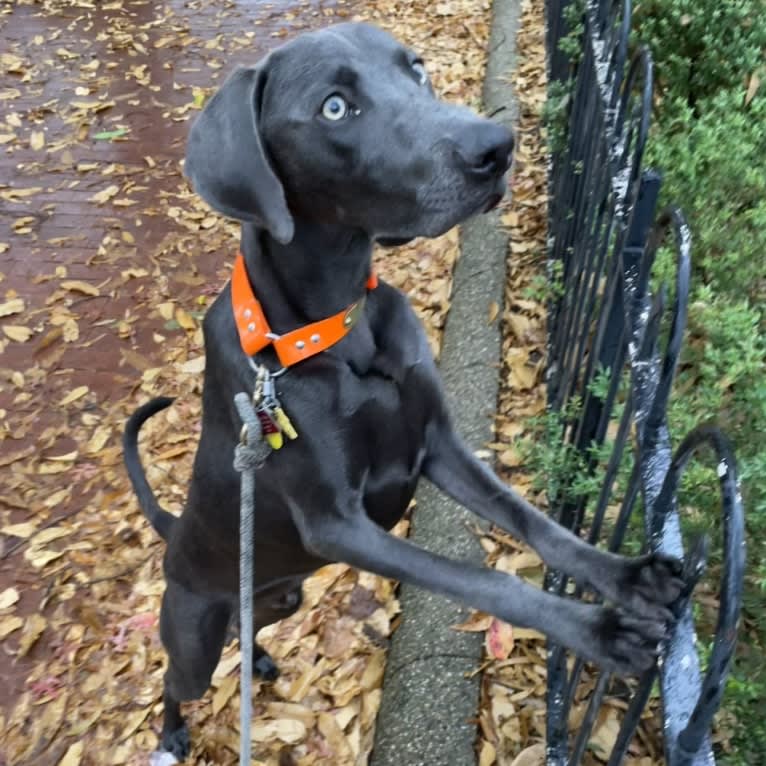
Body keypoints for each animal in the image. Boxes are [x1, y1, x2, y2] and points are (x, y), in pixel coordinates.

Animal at [124, 22, 684, 760]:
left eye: (415, 70)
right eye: (335, 107)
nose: (495, 147)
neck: (338, 330)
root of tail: (172, 534)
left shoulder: (438, 445)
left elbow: (535, 522)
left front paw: (628, 577)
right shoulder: (339, 524)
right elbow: (484, 578)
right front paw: (599, 629)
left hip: (282, 595)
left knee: (251, 629)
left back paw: (261, 659)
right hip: (194, 631)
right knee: (174, 679)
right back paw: (170, 734)